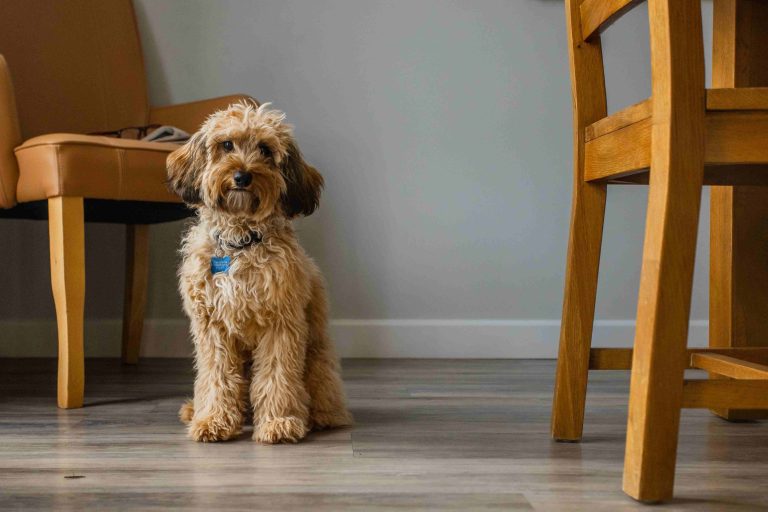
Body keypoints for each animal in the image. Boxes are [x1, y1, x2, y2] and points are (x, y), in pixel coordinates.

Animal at [166, 101, 352, 444]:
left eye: (265, 149)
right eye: (227, 145)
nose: (242, 176)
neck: (240, 242)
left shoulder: (281, 323)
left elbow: (277, 375)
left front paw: (280, 421)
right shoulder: (212, 329)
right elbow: (216, 376)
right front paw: (213, 420)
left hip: (318, 360)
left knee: (321, 391)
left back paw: (319, 416)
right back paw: (197, 409)